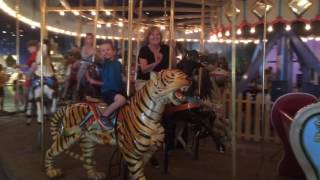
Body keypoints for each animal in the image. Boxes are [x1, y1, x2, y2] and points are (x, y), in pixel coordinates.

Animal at [44, 69, 190, 180]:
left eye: (184, 73)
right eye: (171, 76)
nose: (189, 79)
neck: (153, 117)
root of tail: (70, 105)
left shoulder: (148, 150)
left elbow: (137, 172)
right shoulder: (131, 152)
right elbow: (138, 175)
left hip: (88, 139)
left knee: (87, 158)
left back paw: (95, 175)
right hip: (67, 137)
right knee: (50, 151)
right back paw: (51, 172)